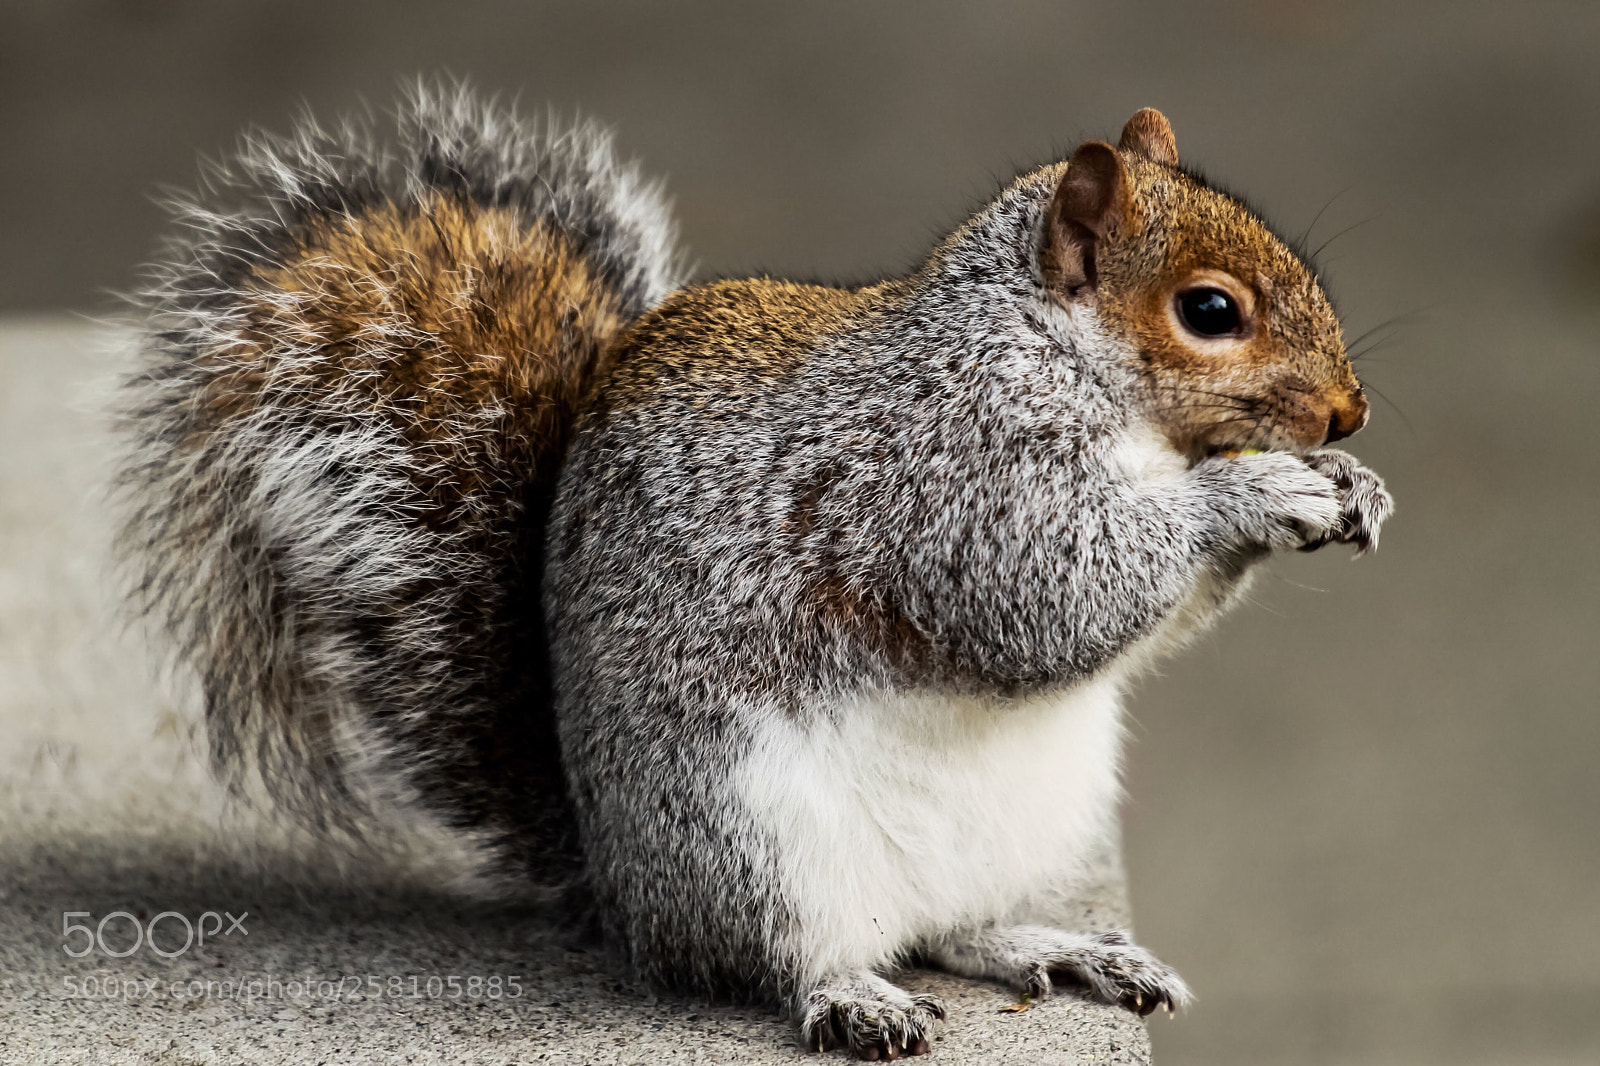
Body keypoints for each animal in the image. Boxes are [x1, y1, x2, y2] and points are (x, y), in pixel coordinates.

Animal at [118, 85, 1392, 1058]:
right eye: (1209, 310)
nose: (1347, 410)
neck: (1058, 359)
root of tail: (624, 894)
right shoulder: (942, 478)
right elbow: (1041, 595)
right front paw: (1256, 492)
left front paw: (1349, 482)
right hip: (749, 834)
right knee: (791, 955)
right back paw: (855, 995)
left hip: (1038, 819)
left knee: (950, 927)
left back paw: (1057, 944)